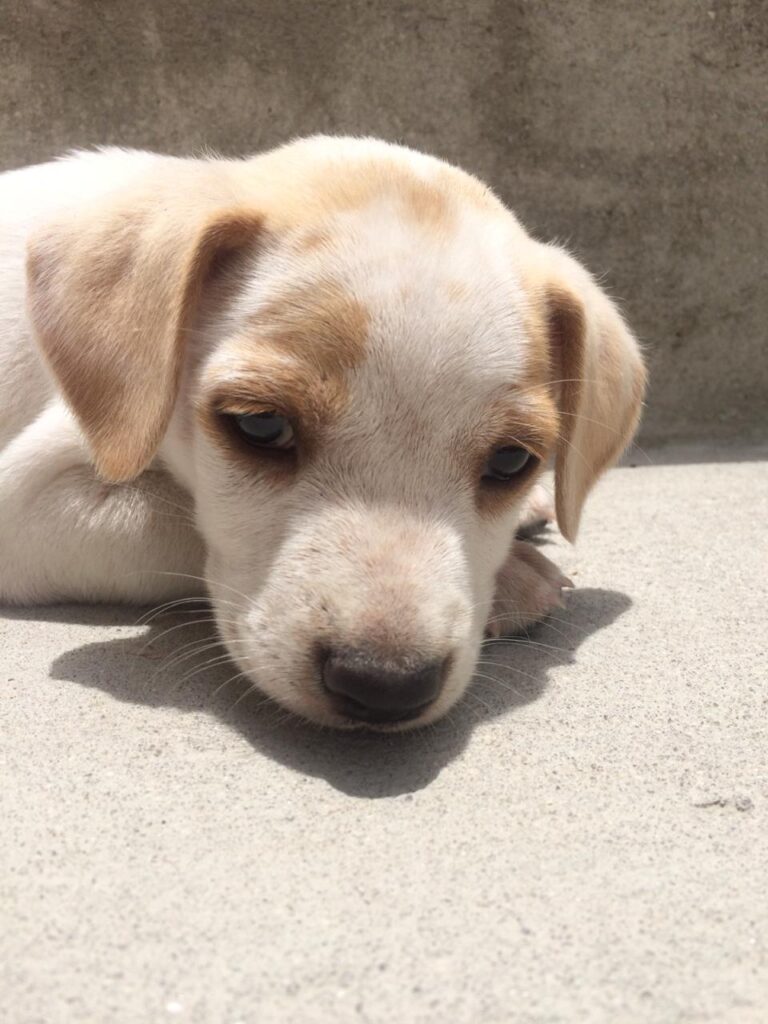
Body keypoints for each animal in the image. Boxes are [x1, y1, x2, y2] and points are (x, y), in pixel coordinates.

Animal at [0, 138, 651, 729]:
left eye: (513, 461)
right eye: (260, 425)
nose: (385, 687)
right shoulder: (26, 503)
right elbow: (172, 519)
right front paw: (516, 576)